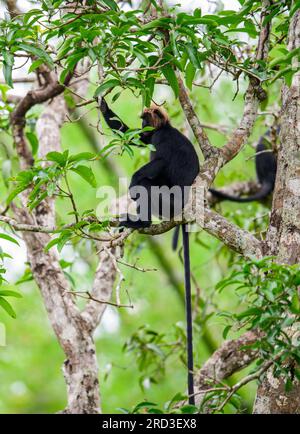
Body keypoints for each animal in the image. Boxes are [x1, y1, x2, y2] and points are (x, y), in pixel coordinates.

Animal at [100, 98, 199, 404]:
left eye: (146, 121)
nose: (143, 126)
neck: (165, 128)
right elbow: (129, 135)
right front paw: (103, 105)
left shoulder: (161, 139)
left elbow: (157, 162)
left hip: (165, 202)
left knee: (145, 184)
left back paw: (140, 220)